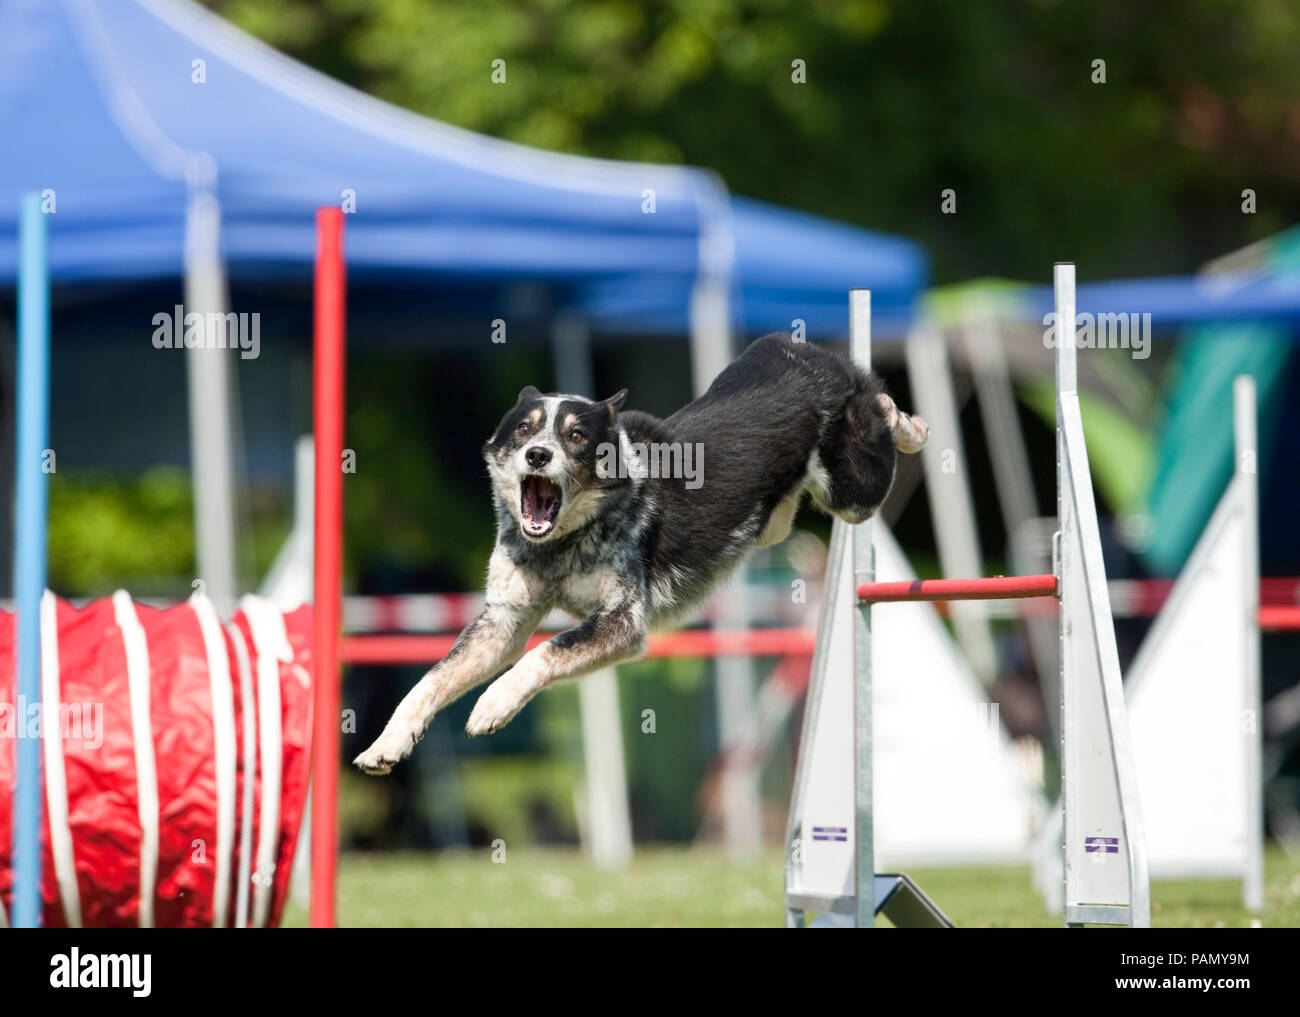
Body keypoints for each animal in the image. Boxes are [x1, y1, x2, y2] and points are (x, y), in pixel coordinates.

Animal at [356, 335, 925, 775]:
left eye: (575, 436)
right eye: (524, 428)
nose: (537, 455)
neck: (562, 545)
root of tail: (807, 350)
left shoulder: (623, 623)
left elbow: (545, 651)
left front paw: (493, 704)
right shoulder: (505, 620)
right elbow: (430, 680)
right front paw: (386, 744)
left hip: (854, 493)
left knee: (883, 410)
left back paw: (912, 428)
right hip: (776, 521)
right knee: (781, 517)